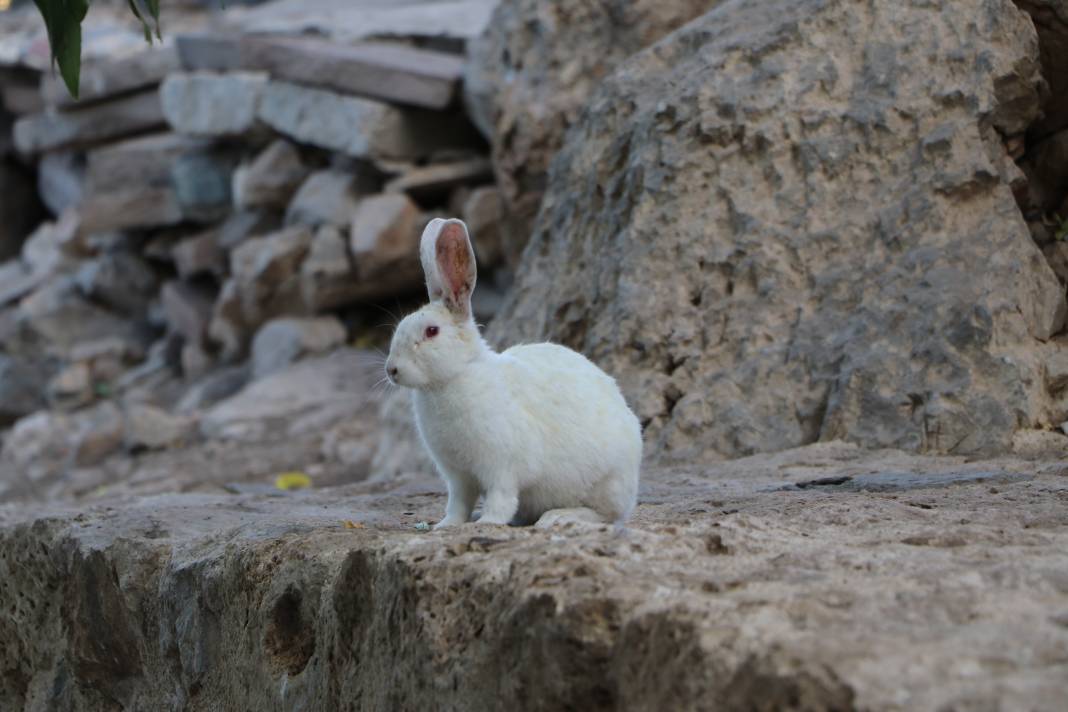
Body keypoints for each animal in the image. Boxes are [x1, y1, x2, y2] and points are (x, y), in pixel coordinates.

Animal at [390, 218, 645, 529]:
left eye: (431, 331)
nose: (392, 369)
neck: (455, 377)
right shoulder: (458, 476)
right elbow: (458, 503)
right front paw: (447, 525)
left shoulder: (501, 466)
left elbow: (501, 497)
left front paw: (487, 523)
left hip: (605, 484)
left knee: (606, 515)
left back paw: (557, 517)